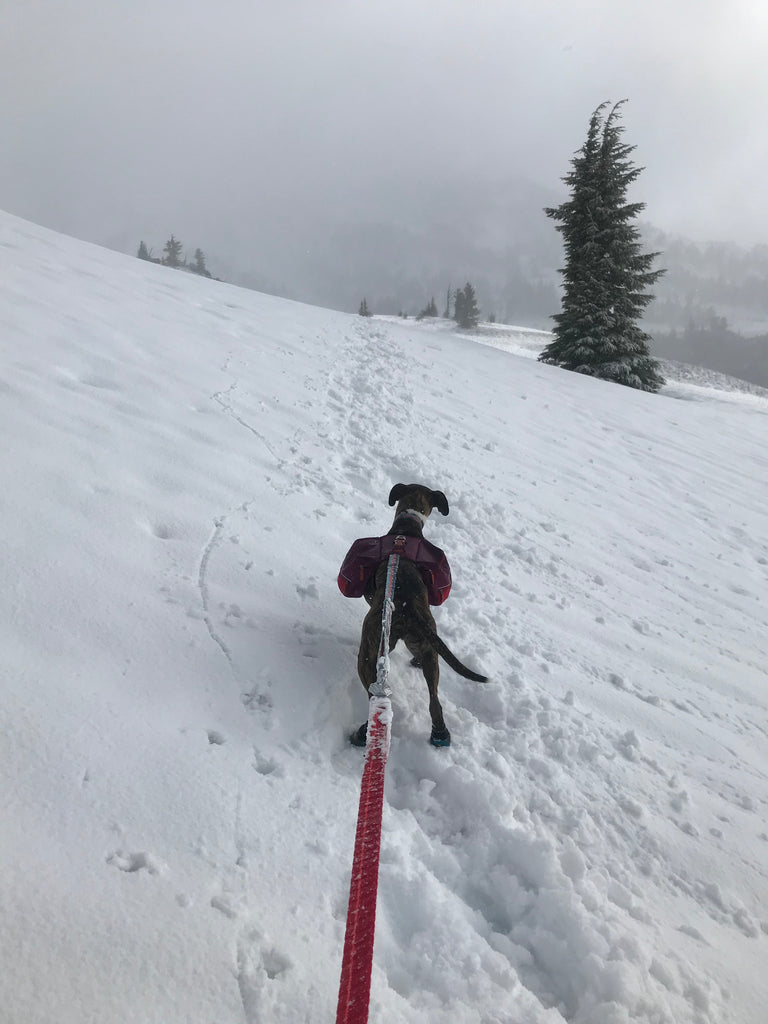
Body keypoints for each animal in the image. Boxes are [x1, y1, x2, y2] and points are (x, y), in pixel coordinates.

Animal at [344, 479, 487, 745]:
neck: (407, 526)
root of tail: (405, 608)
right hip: (428, 648)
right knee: (435, 702)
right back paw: (440, 733)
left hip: (369, 652)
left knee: (374, 697)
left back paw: (362, 734)